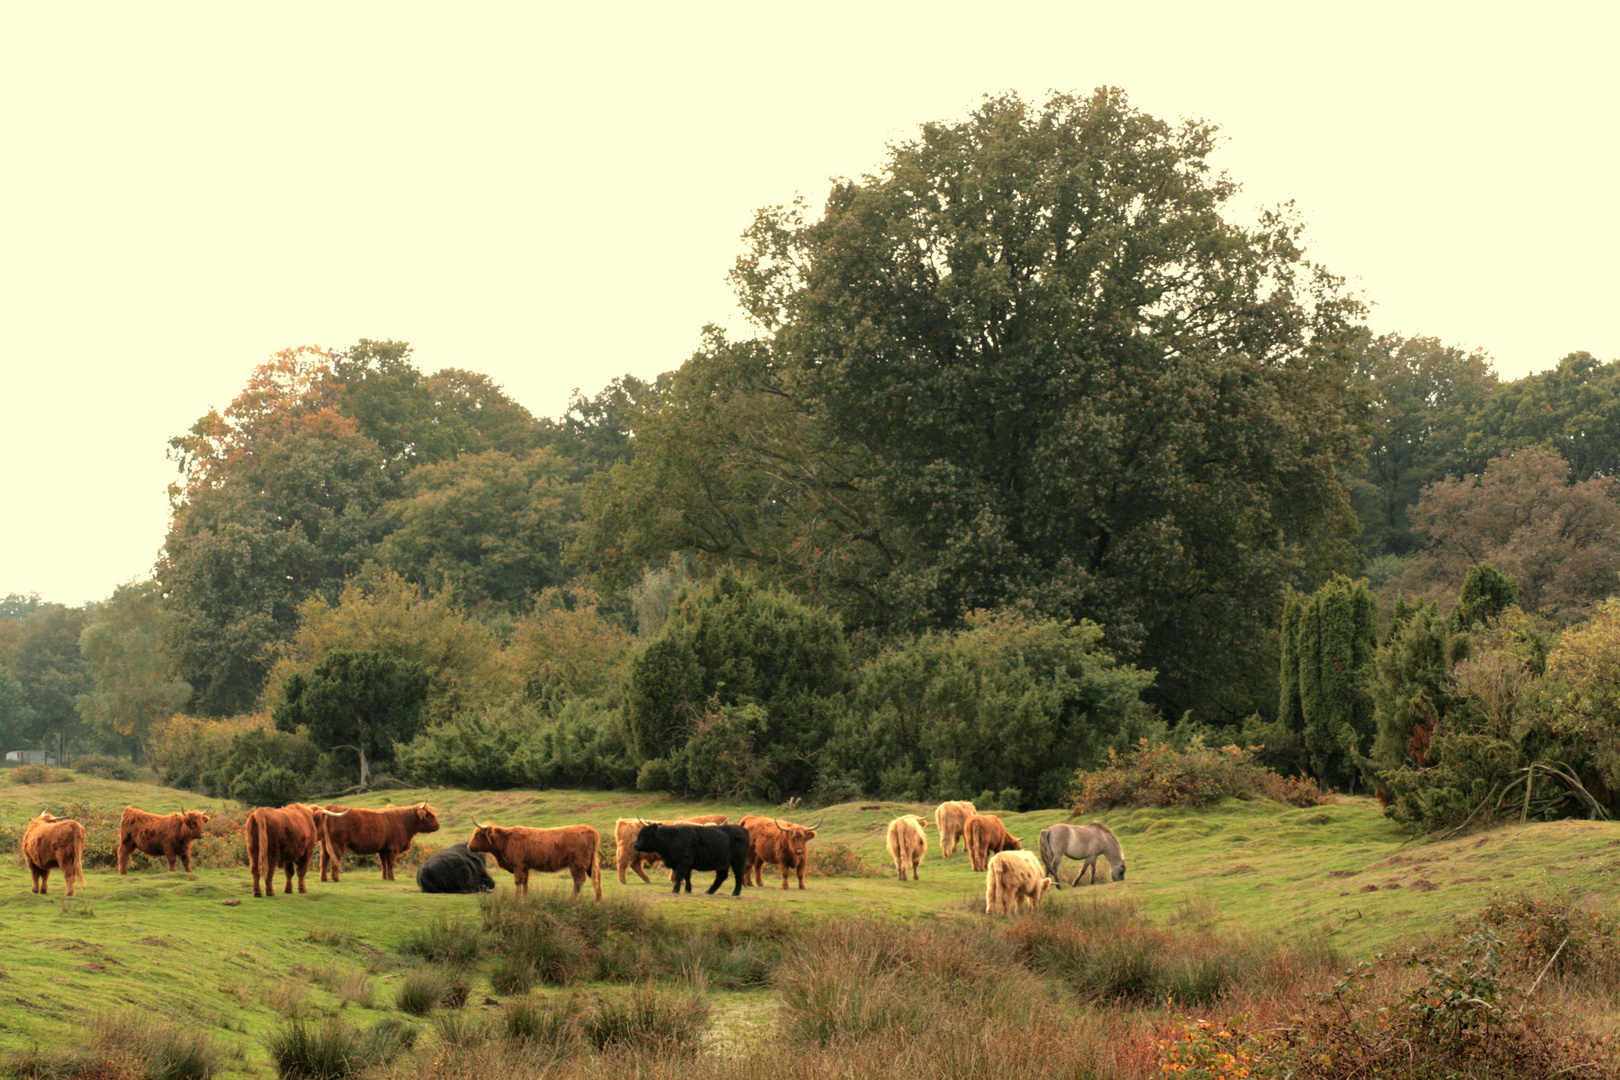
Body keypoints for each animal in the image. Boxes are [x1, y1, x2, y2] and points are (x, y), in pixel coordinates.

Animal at [469, 822, 602, 900]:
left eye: (478, 835)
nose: (469, 847)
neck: (506, 840)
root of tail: (591, 830)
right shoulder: (524, 866)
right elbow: (525, 881)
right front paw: (525, 896)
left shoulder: (518, 865)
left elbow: (518, 881)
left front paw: (516, 897)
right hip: (590, 863)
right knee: (596, 878)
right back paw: (598, 899)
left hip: (577, 864)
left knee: (579, 881)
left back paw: (571, 899)